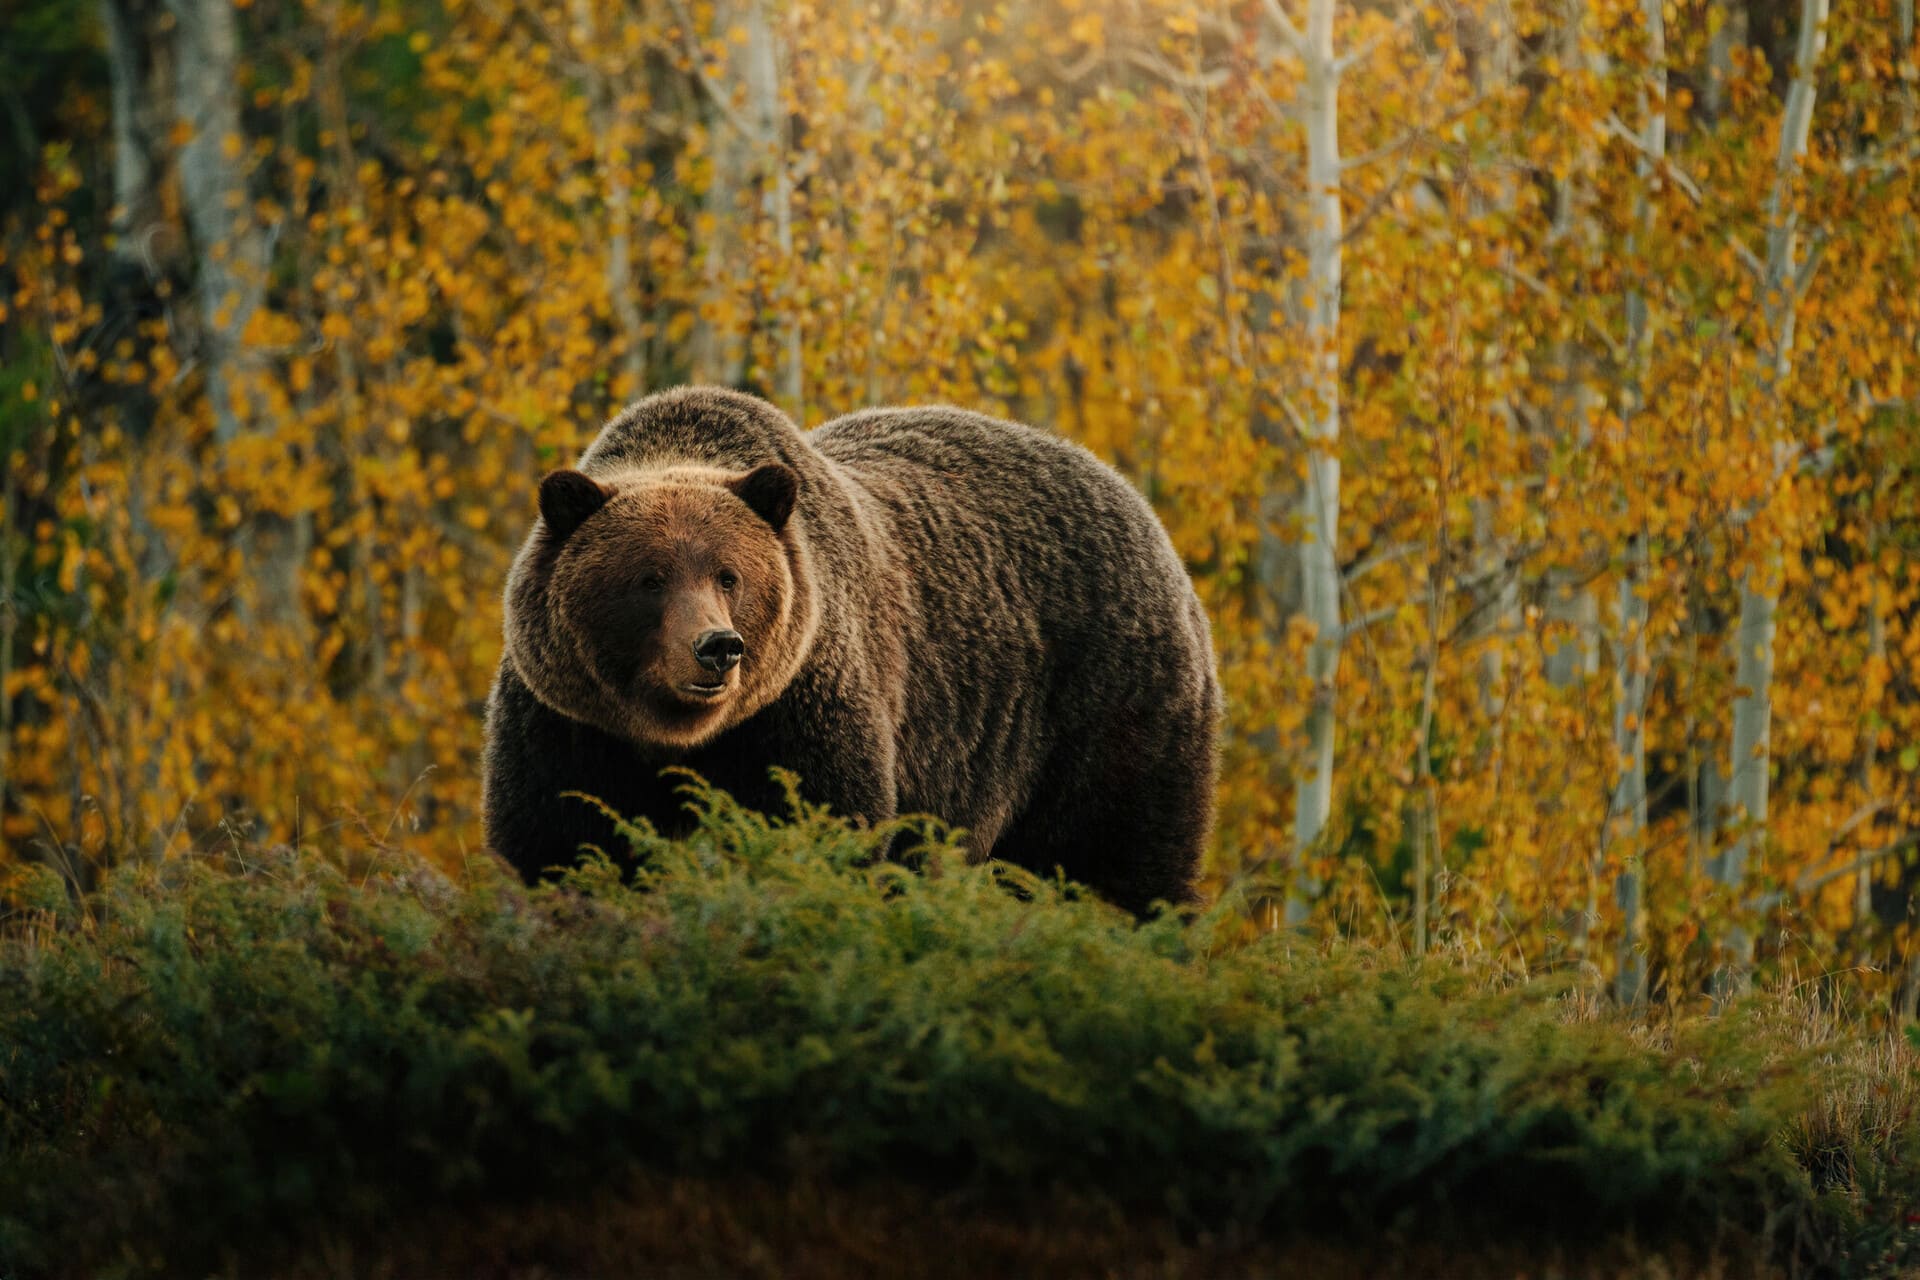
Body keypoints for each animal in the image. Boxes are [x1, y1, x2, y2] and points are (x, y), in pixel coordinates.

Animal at [482, 386, 1220, 916]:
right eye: (649, 578)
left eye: (729, 575)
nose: (718, 648)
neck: (677, 739)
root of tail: (1138, 503)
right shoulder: (568, 721)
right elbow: (558, 840)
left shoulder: (799, 705)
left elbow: (823, 827)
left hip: (1109, 701)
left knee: (1117, 854)